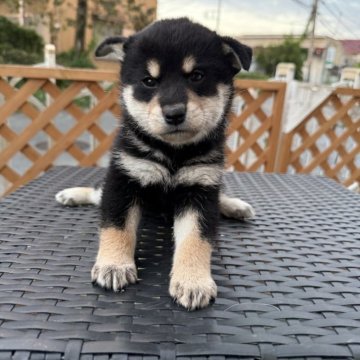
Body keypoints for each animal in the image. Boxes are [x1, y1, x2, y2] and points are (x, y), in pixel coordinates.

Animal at [55, 17, 256, 310]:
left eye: (197, 76)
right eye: (149, 81)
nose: (174, 113)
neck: (172, 153)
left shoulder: (200, 189)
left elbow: (196, 239)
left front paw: (193, 281)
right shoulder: (124, 179)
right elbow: (116, 226)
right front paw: (114, 265)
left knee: (220, 199)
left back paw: (235, 206)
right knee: (97, 195)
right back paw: (71, 195)